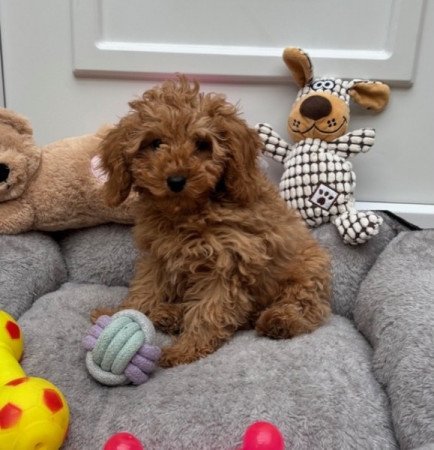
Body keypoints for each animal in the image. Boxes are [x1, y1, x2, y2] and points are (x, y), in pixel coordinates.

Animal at [91, 77, 331, 368]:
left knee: (308, 307)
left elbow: (209, 310)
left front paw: (185, 350)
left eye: (202, 145)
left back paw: (280, 320)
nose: (176, 180)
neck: (188, 212)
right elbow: (145, 289)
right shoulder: (158, 257)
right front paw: (118, 313)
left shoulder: (227, 264)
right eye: (155, 143)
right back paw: (168, 315)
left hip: (308, 269)